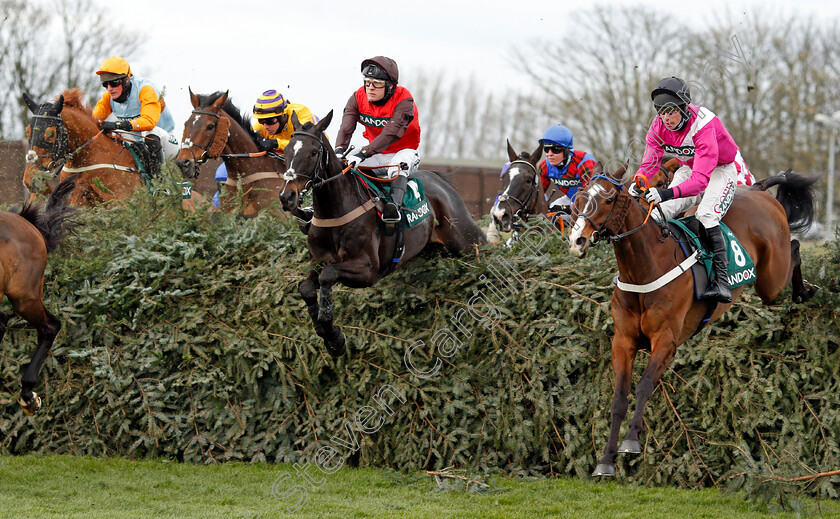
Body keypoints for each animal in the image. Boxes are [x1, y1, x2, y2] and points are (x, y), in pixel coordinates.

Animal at [282, 110, 486, 358]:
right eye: (286, 150)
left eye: (313, 152)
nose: (287, 197)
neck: (337, 210)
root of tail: (440, 181)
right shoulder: (319, 262)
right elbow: (306, 288)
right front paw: (327, 333)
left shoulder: (368, 270)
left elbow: (327, 276)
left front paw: (333, 333)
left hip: (464, 238)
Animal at [568, 168, 816, 480]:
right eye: (578, 199)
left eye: (608, 199)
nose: (576, 241)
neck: (645, 267)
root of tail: (758, 189)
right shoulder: (622, 342)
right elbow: (619, 398)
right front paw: (606, 459)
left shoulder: (666, 340)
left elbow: (645, 385)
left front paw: (631, 441)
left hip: (771, 280)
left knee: (794, 249)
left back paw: (804, 290)